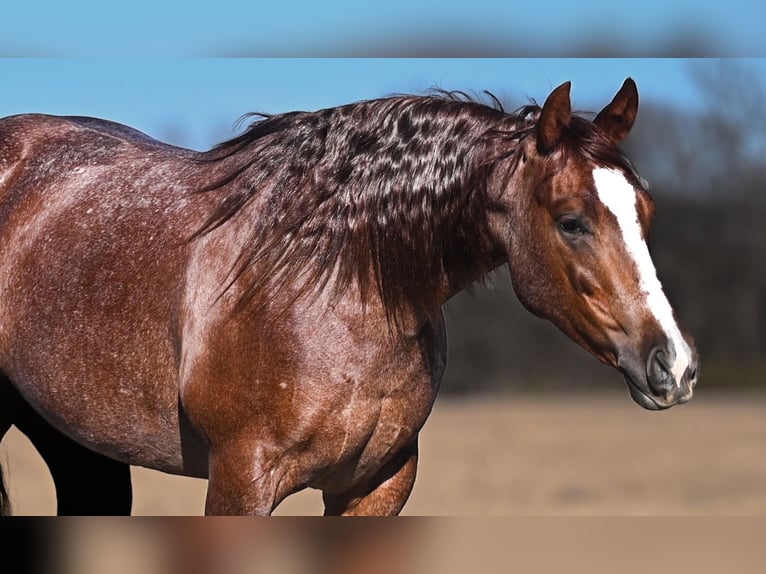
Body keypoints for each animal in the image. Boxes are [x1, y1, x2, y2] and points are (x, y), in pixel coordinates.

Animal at [0, 78, 698, 515]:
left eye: (647, 213)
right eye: (572, 221)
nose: (675, 365)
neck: (333, 288)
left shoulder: (377, 487)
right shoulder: (240, 483)